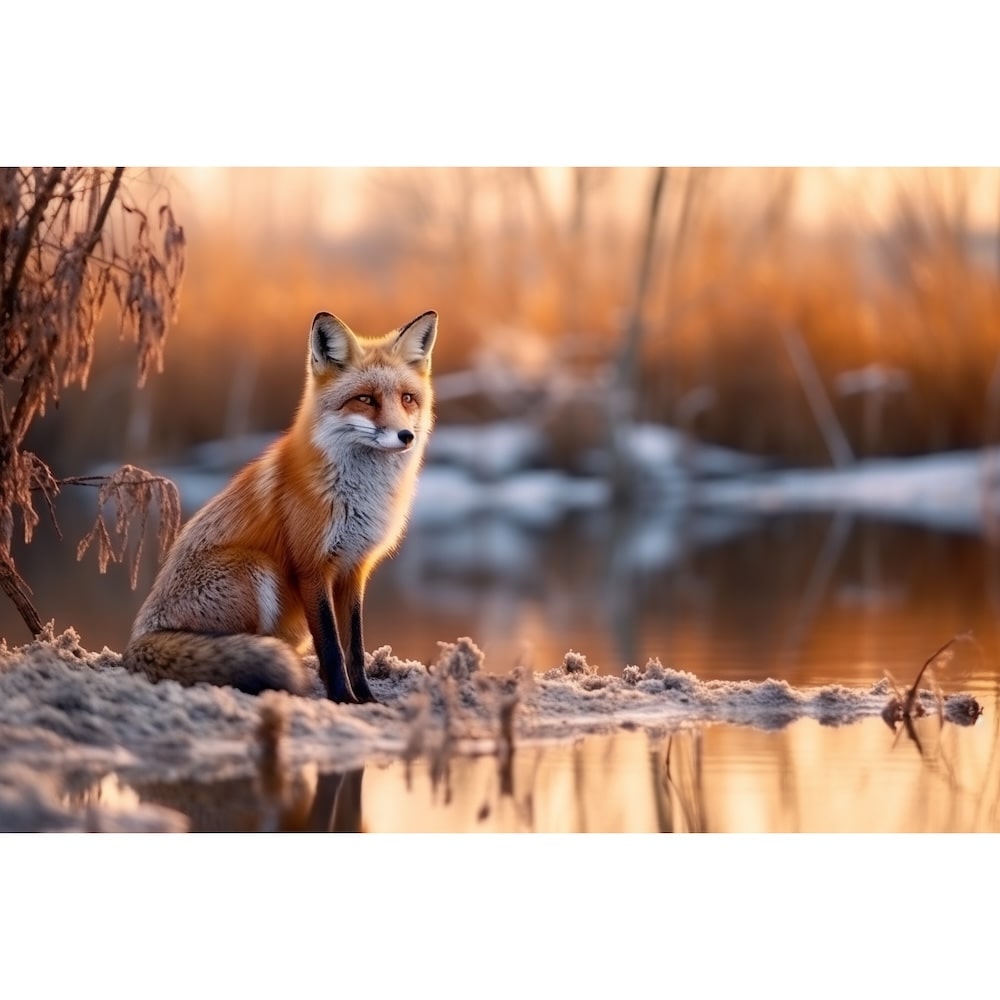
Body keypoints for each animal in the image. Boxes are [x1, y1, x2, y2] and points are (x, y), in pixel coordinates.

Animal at [122, 309, 438, 704]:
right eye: (365, 400)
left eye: (407, 398)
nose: (405, 436)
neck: (361, 494)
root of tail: (138, 638)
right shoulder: (312, 566)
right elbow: (332, 648)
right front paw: (342, 698)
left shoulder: (354, 569)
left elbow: (355, 648)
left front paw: (365, 699)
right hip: (254, 568)